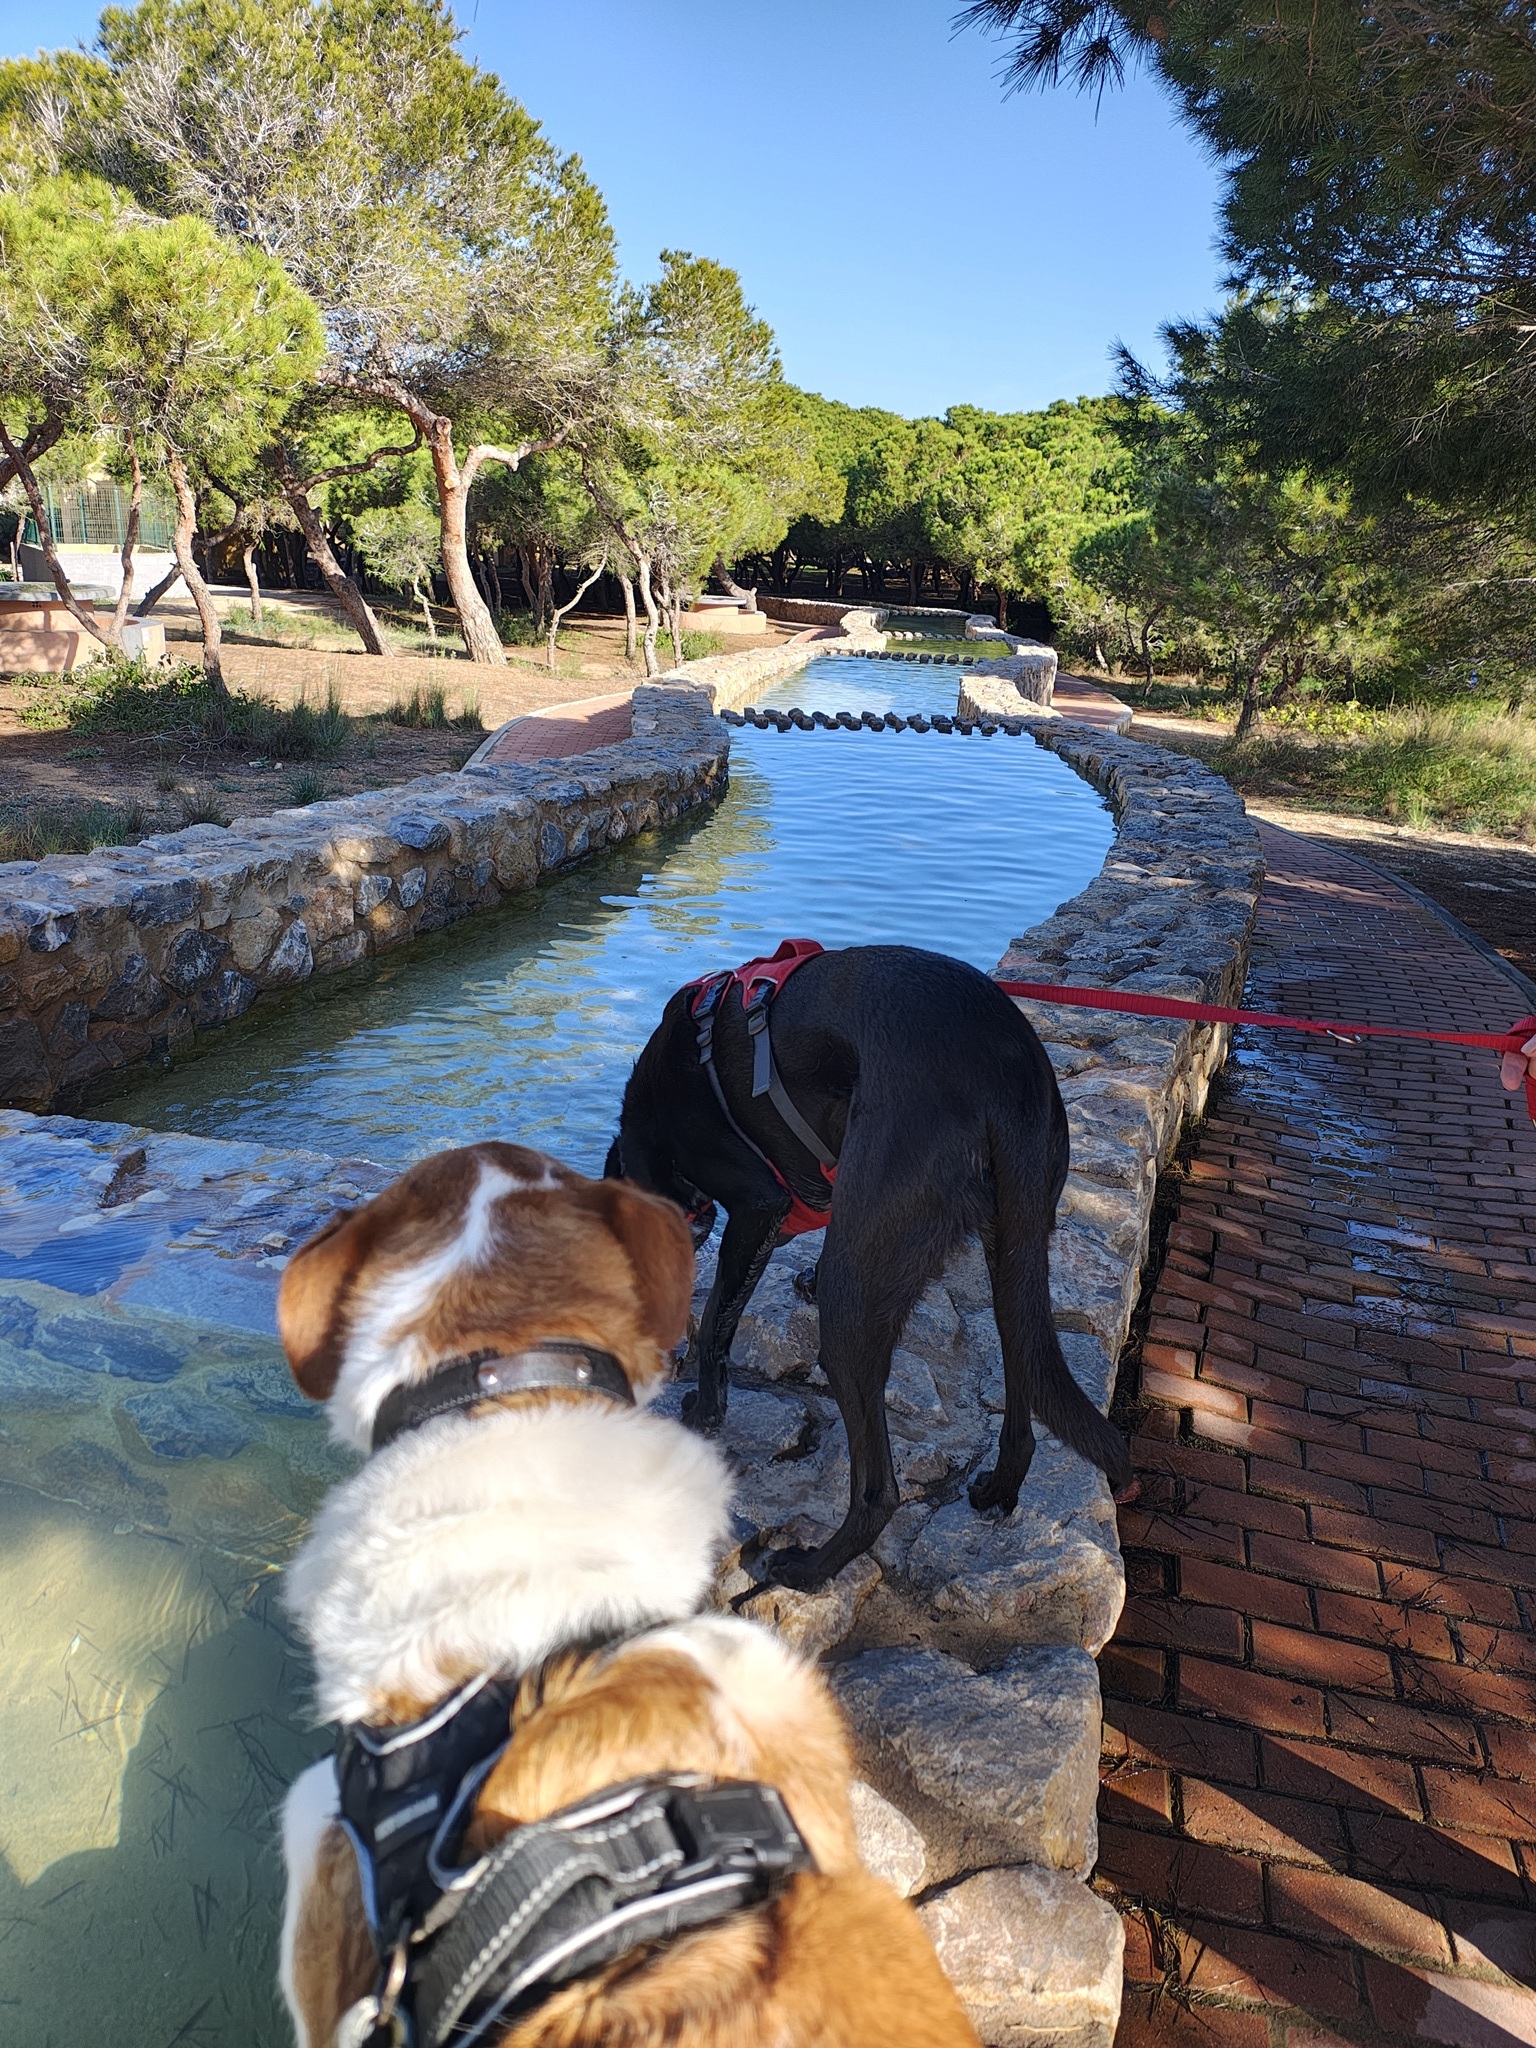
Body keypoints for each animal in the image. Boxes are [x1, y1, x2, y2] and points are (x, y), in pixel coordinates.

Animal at [605, 942, 1132, 1591]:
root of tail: (1008, 1073)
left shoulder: (758, 1205)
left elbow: (715, 1326)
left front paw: (705, 1411)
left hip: (850, 1305)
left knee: (880, 1490)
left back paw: (809, 1568)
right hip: (1010, 1250)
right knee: (1023, 1380)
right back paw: (998, 1489)